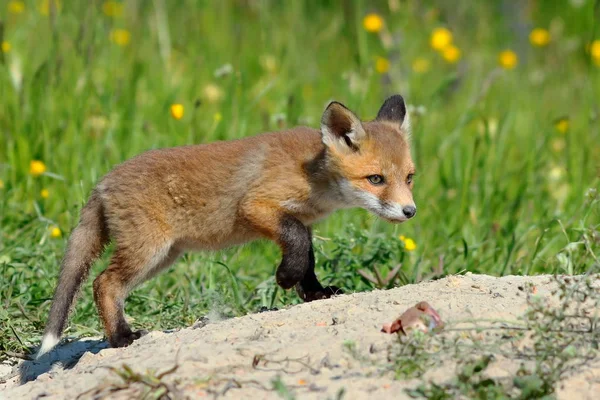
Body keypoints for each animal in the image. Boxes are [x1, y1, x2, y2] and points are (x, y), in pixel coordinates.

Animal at [35, 95, 414, 358]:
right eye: (376, 179)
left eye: (409, 177)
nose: (410, 211)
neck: (314, 175)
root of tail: (103, 182)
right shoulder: (257, 207)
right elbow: (296, 247)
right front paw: (285, 279)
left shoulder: (300, 220)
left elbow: (307, 257)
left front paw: (315, 293)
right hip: (148, 252)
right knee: (104, 283)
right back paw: (121, 338)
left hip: (162, 257)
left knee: (107, 285)